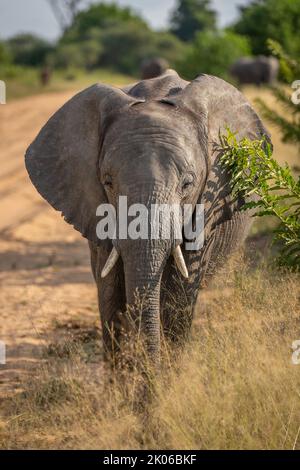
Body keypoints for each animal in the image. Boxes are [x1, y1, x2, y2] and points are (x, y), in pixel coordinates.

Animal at [25, 69, 270, 368]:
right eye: (108, 182)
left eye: (188, 184)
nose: (148, 374)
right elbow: (110, 293)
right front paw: (126, 380)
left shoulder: (210, 201)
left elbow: (180, 292)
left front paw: (167, 378)